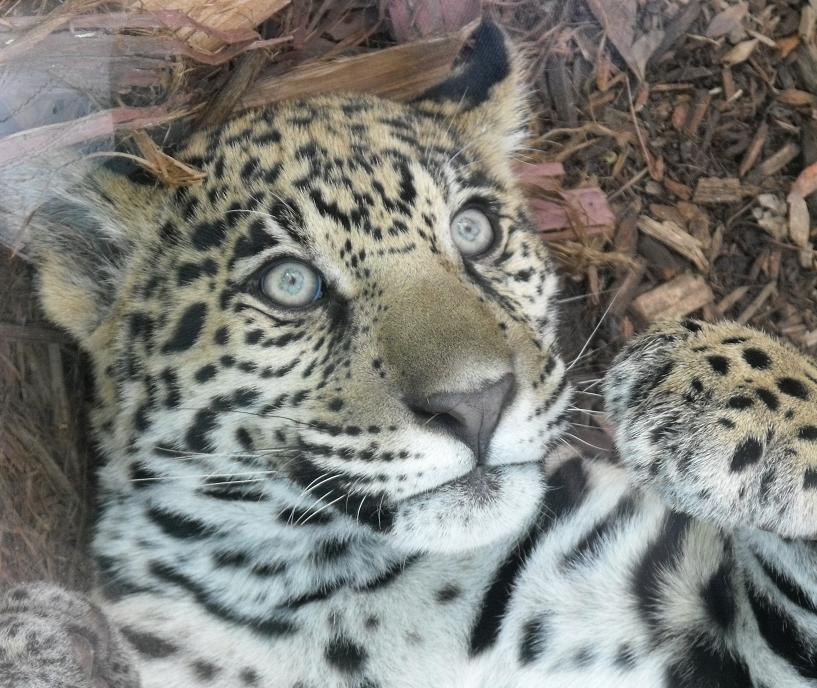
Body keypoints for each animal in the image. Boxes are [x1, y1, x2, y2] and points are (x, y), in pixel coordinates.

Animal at [2, 21, 817, 688]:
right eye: (290, 283)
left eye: (472, 231)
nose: (476, 404)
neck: (339, 593)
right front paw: (42, 639)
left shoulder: (726, 636)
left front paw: (705, 390)